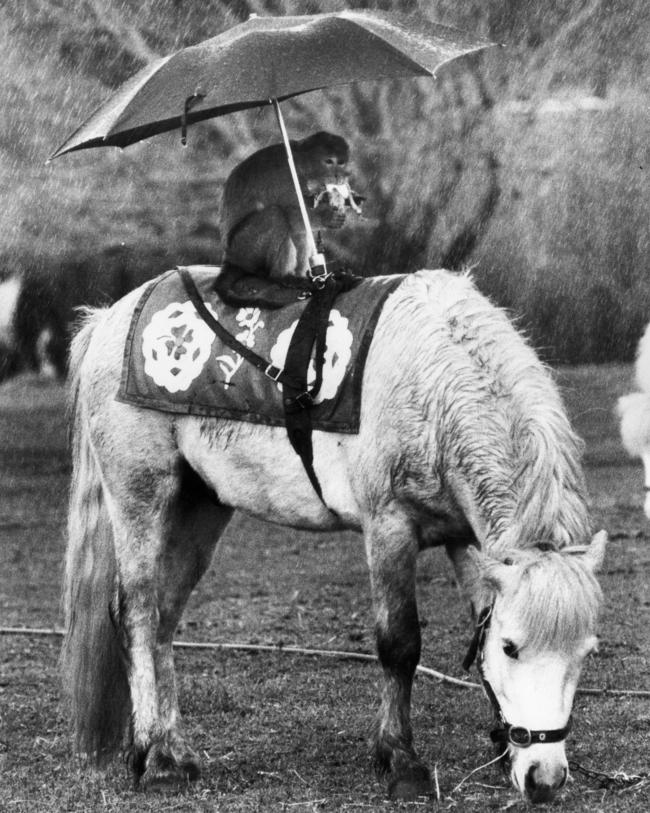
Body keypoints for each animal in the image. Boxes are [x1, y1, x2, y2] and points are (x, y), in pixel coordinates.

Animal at [63, 270, 604, 804]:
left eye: (585, 653)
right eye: (512, 647)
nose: (545, 779)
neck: (431, 379)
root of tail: (109, 318)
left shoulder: (464, 539)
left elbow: (477, 622)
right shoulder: (388, 528)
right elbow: (399, 644)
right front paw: (400, 760)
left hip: (201, 507)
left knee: (164, 617)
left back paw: (175, 749)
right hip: (140, 495)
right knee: (137, 613)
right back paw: (154, 757)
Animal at [218, 132, 360, 284]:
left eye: (341, 163)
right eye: (329, 161)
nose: (338, 175)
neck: (301, 162)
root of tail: (229, 259)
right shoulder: (288, 178)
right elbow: (293, 217)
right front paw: (327, 217)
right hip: (243, 250)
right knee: (277, 216)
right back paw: (280, 276)